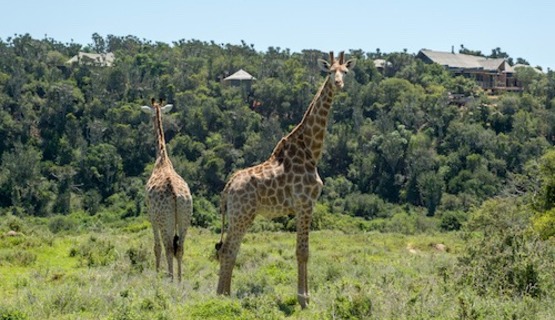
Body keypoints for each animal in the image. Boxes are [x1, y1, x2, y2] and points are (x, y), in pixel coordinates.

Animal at [141, 98, 193, 282]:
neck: (162, 158)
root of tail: (176, 196)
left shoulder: (152, 216)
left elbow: (156, 247)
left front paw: (157, 273)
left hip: (165, 220)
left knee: (169, 247)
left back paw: (169, 279)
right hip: (185, 217)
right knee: (181, 248)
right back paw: (179, 280)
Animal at [217, 52, 356, 308]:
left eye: (345, 72)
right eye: (330, 72)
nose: (339, 84)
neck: (311, 150)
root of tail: (227, 187)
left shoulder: (307, 205)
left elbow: (305, 251)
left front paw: (306, 296)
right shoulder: (304, 203)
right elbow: (302, 251)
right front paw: (303, 299)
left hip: (236, 215)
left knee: (229, 249)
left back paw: (225, 294)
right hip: (243, 215)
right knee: (229, 249)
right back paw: (222, 297)